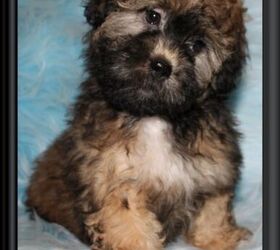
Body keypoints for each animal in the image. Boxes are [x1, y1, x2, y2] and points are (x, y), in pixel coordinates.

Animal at [26, 0, 250, 250]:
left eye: (197, 45)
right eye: (152, 16)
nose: (162, 65)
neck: (153, 115)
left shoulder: (215, 166)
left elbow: (213, 207)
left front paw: (217, 237)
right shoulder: (113, 176)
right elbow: (127, 219)